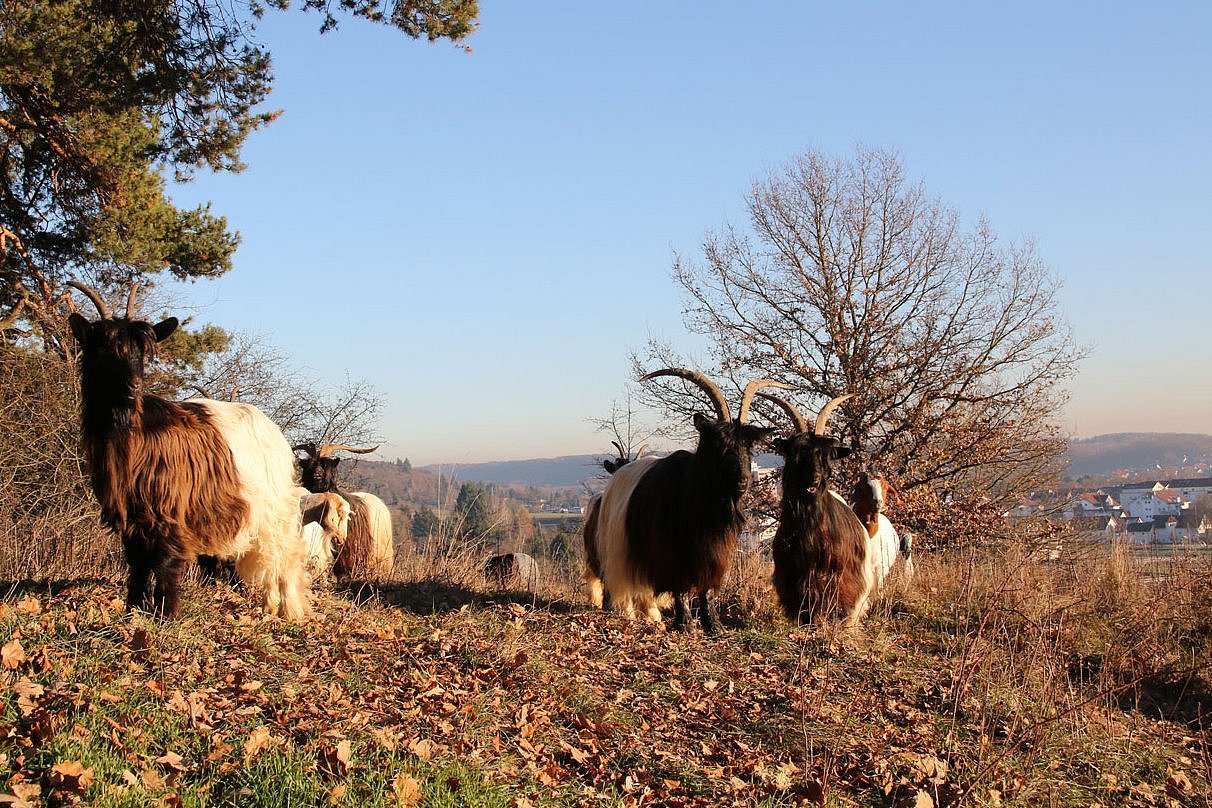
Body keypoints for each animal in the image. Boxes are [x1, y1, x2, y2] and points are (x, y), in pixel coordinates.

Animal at [65, 283, 312, 620]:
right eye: (102, 348)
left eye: (141, 352)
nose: (132, 387)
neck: (131, 436)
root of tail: (271, 428)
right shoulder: (133, 515)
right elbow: (137, 563)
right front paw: (133, 609)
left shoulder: (170, 509)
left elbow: (165, 562)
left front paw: (167, 614)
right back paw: (270, 606)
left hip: (275, 506)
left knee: (284, 551)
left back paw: (289, 609)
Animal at [593, 370, 785, 634]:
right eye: (718, 444)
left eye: (749, 446)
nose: (742, 481)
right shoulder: (670, 549)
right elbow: (680, 584)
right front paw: (684, 624)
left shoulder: (714, 551)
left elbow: (707, 588)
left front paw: (713, 625)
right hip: (618, 547)